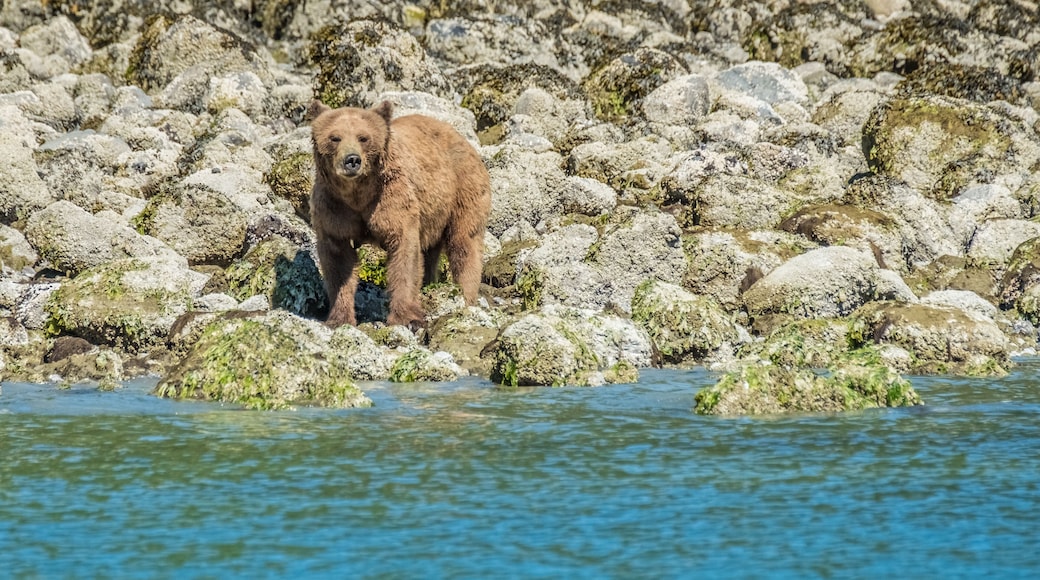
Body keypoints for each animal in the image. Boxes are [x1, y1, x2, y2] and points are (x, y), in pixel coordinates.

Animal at [307, 99, 492, 328]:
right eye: (335, 137)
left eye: (363, 137)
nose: (352, 160)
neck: (357, 195)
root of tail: (461, 137)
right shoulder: (334, 209)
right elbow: (339, 261)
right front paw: (338, 318)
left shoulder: (391, 200)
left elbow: (405, 253)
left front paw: (407, 317)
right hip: (434, 214)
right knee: (431, 253)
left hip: (462, 188)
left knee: (464, 242)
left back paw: (465, 296)